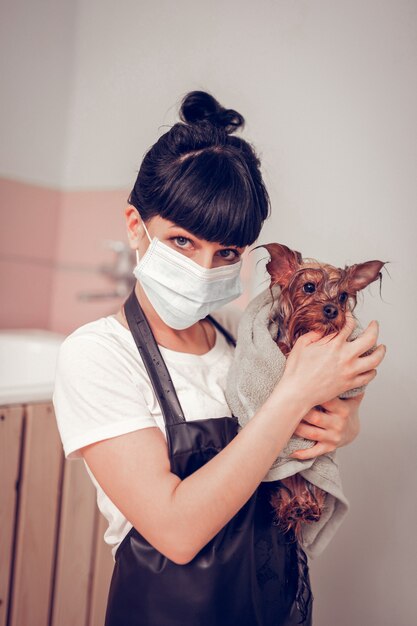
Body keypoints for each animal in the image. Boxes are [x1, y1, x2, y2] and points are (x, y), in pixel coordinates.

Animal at [258, 241, 386, 544]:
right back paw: (293, 507)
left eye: (342, 296)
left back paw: (304, 507)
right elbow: (282, 347)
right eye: (309, 287)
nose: (331, 310)